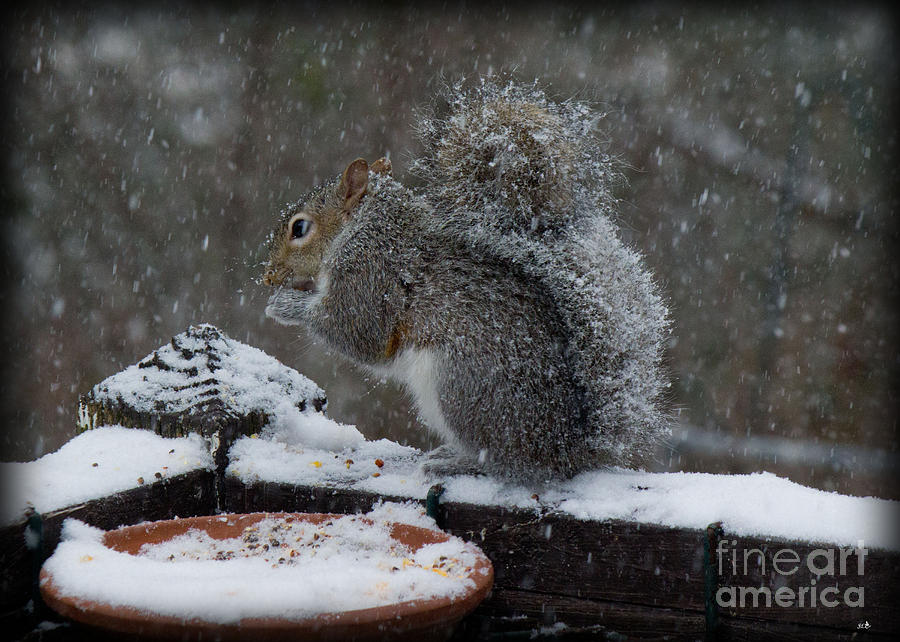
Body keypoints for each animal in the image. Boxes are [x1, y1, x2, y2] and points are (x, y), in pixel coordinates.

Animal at [260, 79, 668, 480]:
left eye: (300, 228)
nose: (267, 276)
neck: (362, 228)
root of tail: (568, 449)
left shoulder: (371, 275)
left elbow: (357, 332)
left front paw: (285, 305)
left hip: (461, 384)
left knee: (510, 462)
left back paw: (460, 462)